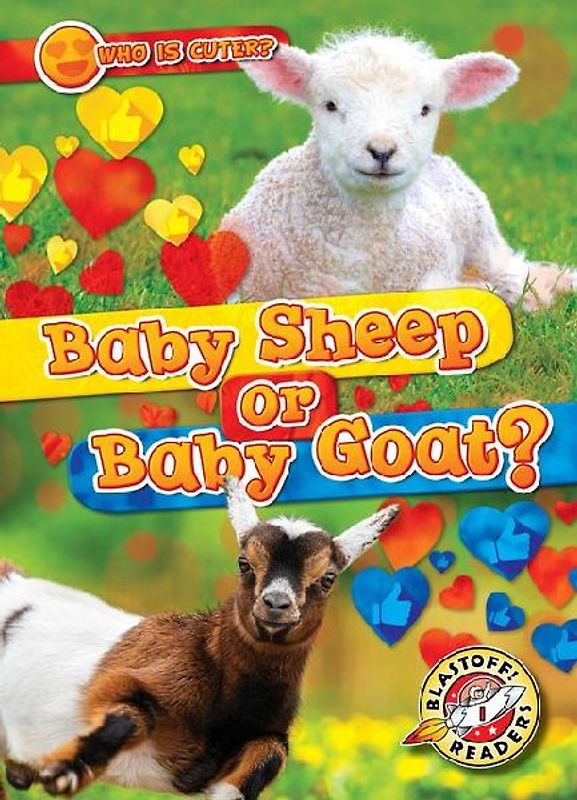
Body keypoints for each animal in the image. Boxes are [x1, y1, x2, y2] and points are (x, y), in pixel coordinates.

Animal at [0, 481, 398, 800]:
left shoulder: (263, 736)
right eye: (244, 563)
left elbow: (271, 753)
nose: (275, 604)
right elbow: (132, 715)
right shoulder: (125, 680)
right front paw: (65, 772)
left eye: (328, 578)